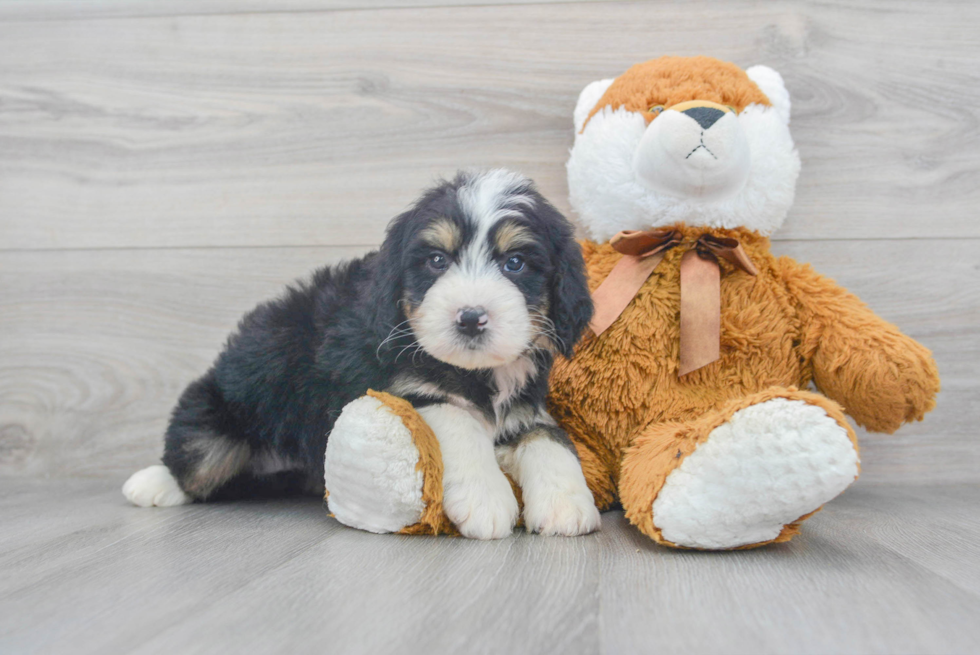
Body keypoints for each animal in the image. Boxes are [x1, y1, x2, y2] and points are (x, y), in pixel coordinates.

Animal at [122, 169, 596, 540]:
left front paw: (567, 504)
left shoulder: (524, 406)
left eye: (515, 263)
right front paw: (487, 498)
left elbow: (550, 438)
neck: (476, 373)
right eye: (437, 260)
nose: (470, 318)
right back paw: (151, 484)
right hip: (218, 415)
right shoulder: (400, 388)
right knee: (195, 460)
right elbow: (458, 419)